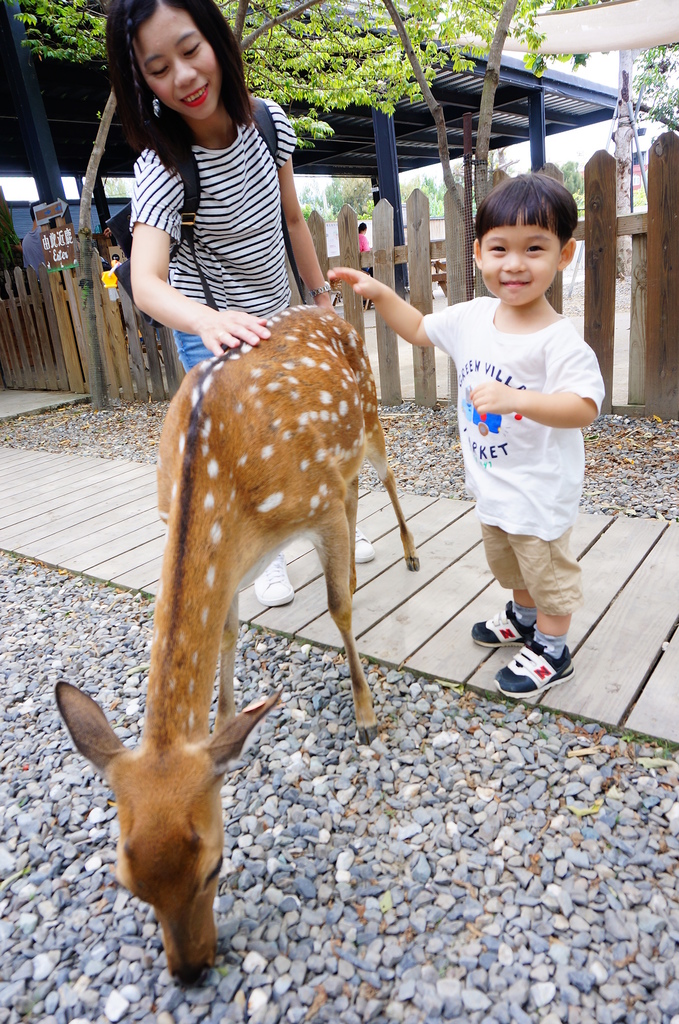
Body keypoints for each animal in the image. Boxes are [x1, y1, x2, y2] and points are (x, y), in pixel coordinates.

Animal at [57, 305, 419, 983]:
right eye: (127, 882)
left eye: (215, 866)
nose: (191, 970)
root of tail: (331, 305)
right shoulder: (236, 556)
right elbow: (227, 629)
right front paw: (224, 719)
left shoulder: (316, 502)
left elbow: (338, 609)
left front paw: (365, 717)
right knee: (358, 493)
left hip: (370, 417)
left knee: (383, 477)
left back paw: (408, 554)